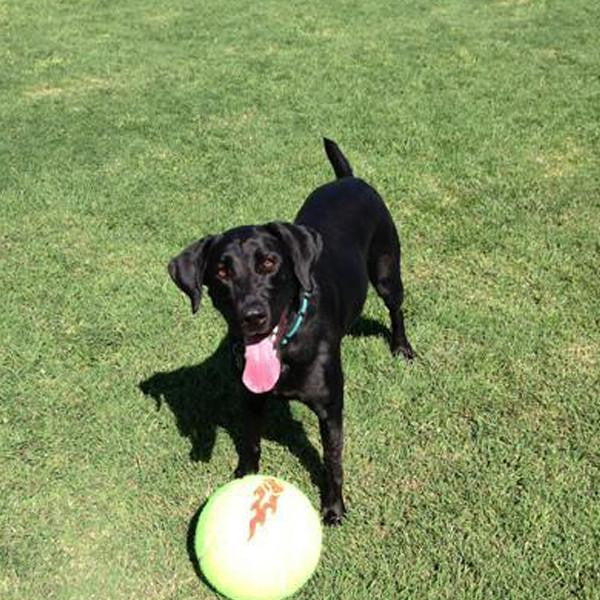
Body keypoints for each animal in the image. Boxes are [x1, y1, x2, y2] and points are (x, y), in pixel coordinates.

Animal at [168, 138, 412, 524]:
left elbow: (332, 459)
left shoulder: (330, 408)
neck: (287, 345)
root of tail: (348, 178)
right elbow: (251, 442)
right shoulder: (250, 398)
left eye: (269, 262)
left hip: (387, 269)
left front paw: (334, 508)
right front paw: (245, 476)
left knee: (396, 307)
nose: (252, 315)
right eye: (221, 272)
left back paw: (402, 348)